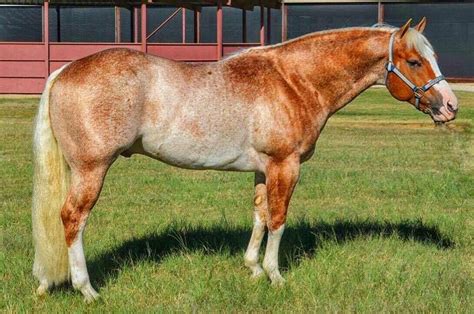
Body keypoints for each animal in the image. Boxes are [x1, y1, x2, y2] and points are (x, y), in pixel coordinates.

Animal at [30, 17, 460, 302]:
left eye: (432, 57)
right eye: (415, 62)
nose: (451, 106)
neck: (293, 80)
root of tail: (64, 70)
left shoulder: (262, 169)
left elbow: (259, 216)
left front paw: (252, 269)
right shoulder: (286, 165)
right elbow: (279, 219)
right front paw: (275, 276)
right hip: (92, 170)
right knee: (73, 219)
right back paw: (88, 290)